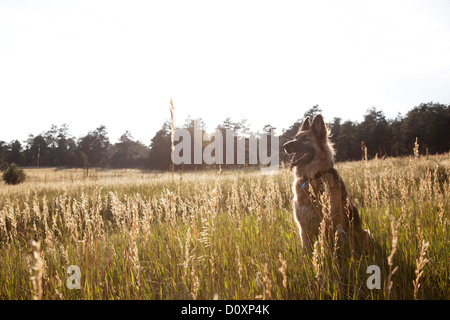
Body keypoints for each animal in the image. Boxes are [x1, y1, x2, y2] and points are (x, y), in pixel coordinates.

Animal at [284, 115, 370, 252]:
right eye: (295, 137)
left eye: (305, 139)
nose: (284, 146)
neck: (313, 177)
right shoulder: (303, 227)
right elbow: (306, 250)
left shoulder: (328, 224)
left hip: (362, 234)